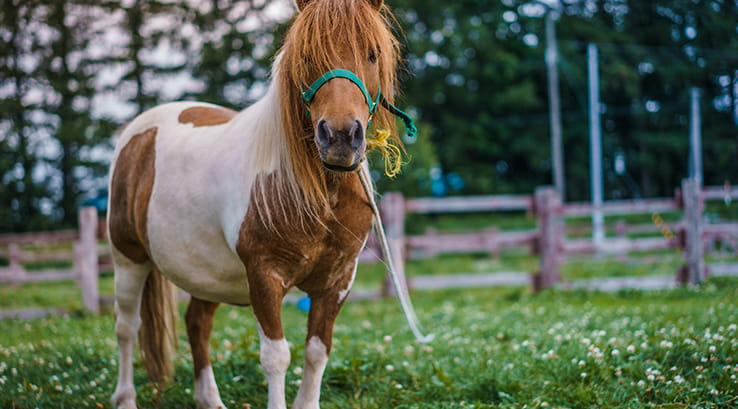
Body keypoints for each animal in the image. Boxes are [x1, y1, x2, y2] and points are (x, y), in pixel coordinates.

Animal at [107, 0, 405, 408]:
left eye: (372, 54)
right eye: (306, 55)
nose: (341, 138)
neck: (318, 194)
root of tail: (137, 132)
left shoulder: (337, 282)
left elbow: (317, 352)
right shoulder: (265, 277)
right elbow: (277, 357)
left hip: (207, 273)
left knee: (197, 323)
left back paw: (210, 400)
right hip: (129, 258)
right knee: (127, 327)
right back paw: (125, 397)